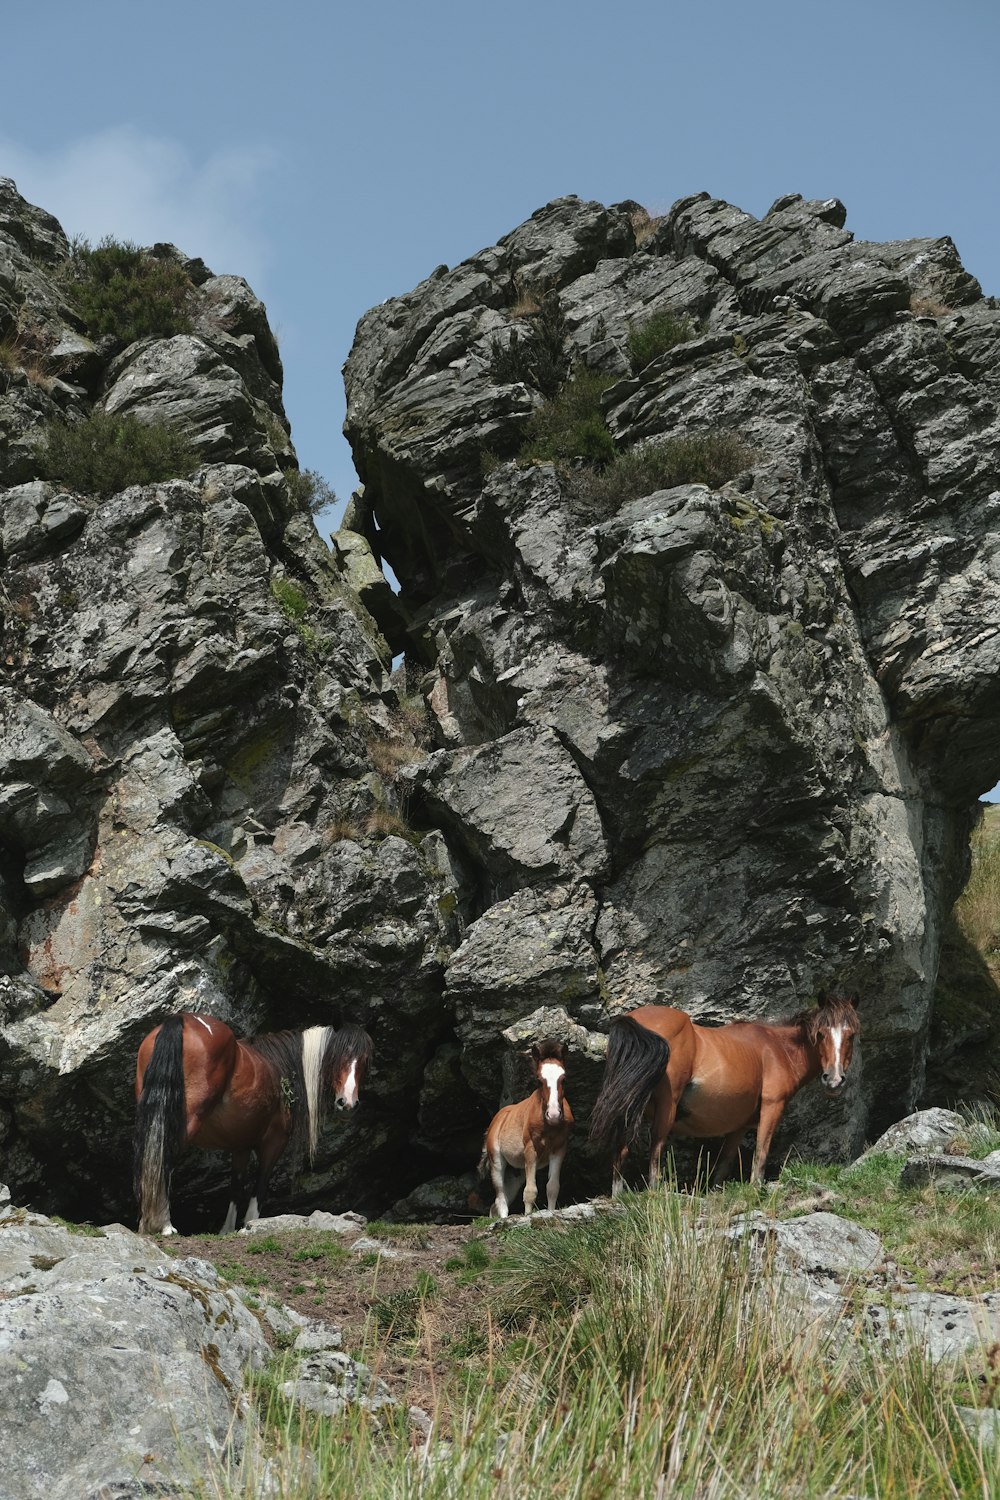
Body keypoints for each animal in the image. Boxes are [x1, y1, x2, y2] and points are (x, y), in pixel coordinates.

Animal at [134, 1014, 373, 1236]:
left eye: (364, 1061)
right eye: (339, 1055)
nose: (347, 1103)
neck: (281, 1068)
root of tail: (182, 1019)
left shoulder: (241, 1146)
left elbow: (236, 1185)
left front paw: (227, 1229)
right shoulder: (275, 1141)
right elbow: (261, 1183)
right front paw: (250, 1224)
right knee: (164, 1159)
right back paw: (164, 1224)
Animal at [479, 1044, 575, 1218]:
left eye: (563, 1079)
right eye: (539, 1080)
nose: (553, 1114)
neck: (549, 1126)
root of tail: (497, 1119)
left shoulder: (559, 1148)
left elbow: (552, 1187)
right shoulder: (531, 1149)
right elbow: (530, 1191)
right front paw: (528, 1217)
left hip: (517, 1172)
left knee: (497, 1203)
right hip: (496, 1160)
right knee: (501, 1198)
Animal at [593, 996, 863, 1194]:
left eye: (851, 1035)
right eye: (821, 1034)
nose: (834, 1080)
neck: (777, 1049)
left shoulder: (738, 1127)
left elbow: (724, 1164)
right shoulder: (772, 1107)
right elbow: (761, 1153)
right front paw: (755, 1190)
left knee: (621, 1148)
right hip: (666, 1107)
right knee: (656, 1147)